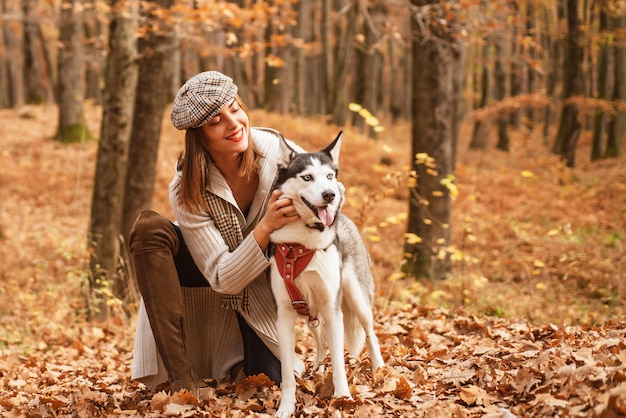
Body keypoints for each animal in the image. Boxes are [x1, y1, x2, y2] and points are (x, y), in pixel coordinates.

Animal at [270, 131, 386, 418]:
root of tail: (346, 219)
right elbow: (287, 374)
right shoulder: (285, 316)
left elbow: (340, 366)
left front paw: (343, 398)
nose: (331, 195)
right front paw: (286, 407)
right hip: (311, 312)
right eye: (307, 177)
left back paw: (379, 368)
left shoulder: (334, 312)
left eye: (330, 175)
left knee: (370, 334)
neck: (301, 243)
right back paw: (317, 368)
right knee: (320, 341)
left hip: (356, 299)